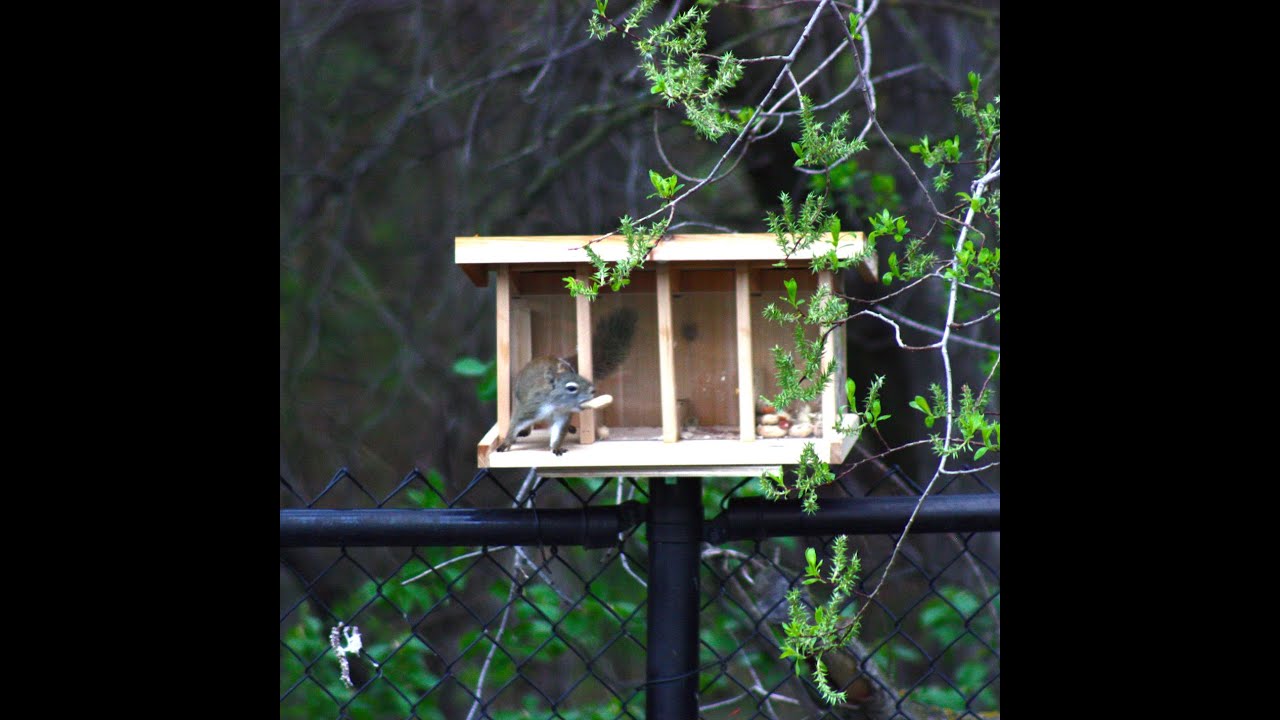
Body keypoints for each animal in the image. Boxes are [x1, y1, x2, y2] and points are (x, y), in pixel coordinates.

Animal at [495, 307, 638, 455]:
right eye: (571, 388)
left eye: (581, 376)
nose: (593, 390)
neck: (555, 405)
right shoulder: (532, 407)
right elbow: (516, 424)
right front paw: (505, 443)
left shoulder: (562, 417)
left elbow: (558, 432)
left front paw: (556, 447)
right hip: (518, 401)